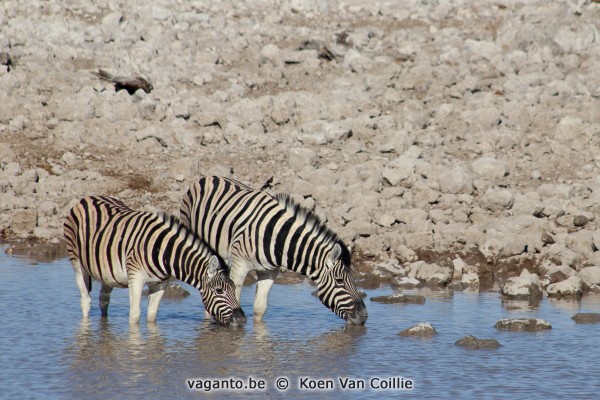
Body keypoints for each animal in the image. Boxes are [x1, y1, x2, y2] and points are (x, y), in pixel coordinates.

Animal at [63, 195, 246, 326]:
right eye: (219, 291)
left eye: (233, 288)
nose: (242, 320)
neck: (164, 252)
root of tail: (86, 198)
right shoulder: (135, 277)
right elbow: (135, 316)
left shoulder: (160, 284)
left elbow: (151, 317)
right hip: (77, 263)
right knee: (86, 301)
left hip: (106, 274)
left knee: (103, 300)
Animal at [178, 176, 368, 324]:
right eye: (339, 281)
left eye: (354, 280)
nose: (364, 317)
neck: (277, 239)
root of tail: (208, 177)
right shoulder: (239, 266)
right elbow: (233, 298)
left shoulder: (269, 272)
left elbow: (260, 308)